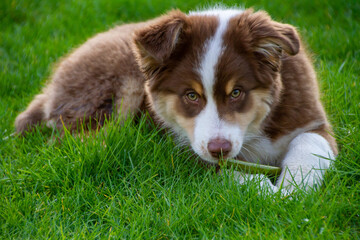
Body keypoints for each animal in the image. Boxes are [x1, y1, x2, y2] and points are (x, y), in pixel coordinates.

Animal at [15, 7, 338, 194]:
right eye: (191, 95)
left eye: (236, 92)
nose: (219, 149)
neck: (253, 132)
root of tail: (49, 88)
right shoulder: (187, 148)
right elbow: (228, 171)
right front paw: (267, 193)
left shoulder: (311, 120)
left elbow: (310, 145)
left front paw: (292, 189)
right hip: (120, 87)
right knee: (72, 142)